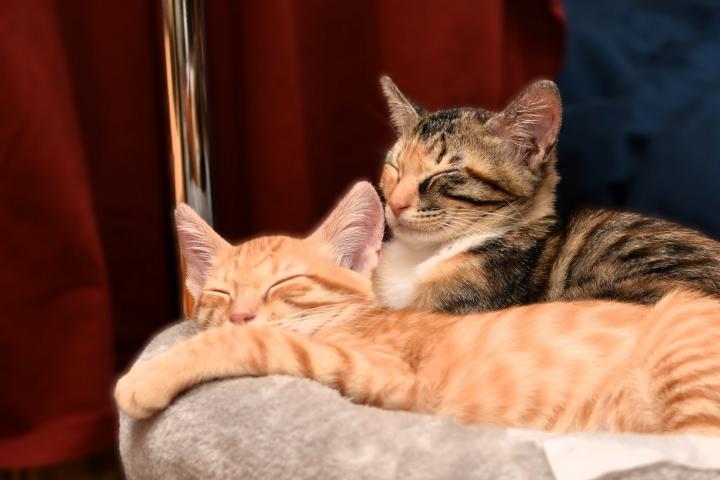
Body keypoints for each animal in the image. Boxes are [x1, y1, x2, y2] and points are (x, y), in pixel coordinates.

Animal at [116, 183, 720, 436]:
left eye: (285, 283)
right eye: (219, 294)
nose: (240, 312)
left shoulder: (385, 371)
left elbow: (262, 341)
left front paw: (144, 377)